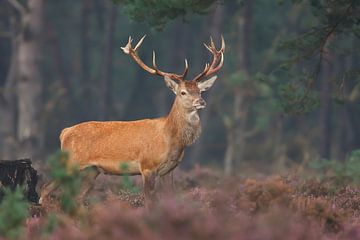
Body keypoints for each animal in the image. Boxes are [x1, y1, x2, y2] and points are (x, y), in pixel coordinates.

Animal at [40, 34, 225, 205]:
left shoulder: (169, 170)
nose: (201, 102)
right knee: (45, 188)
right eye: (183, 92)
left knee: (76, 197)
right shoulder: (147, 165)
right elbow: (149, 202)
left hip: (92, 170)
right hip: (71, 162)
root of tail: (64, 132)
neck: (171, 139)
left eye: (200, 91)